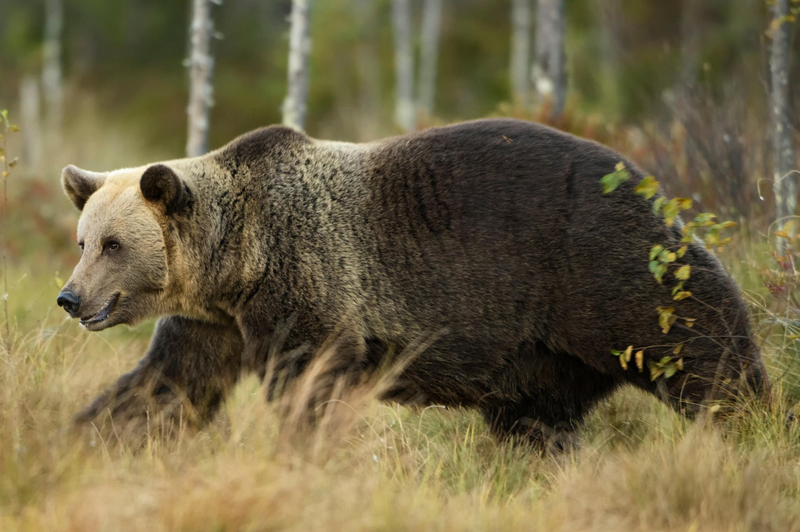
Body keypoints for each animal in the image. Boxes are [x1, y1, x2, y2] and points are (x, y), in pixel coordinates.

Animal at [57, 118, 768, 446]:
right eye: (83, 242)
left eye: (114, 245)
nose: (71, 298)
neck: (237, 260)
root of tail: (653, 183)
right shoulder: (216, 321)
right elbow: (168, 385)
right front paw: (90, 435)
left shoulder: (307, 282)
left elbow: (310, 383)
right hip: (543, 356)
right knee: (536, 422)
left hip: (603, 265)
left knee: (702, 348)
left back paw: (752, 422)